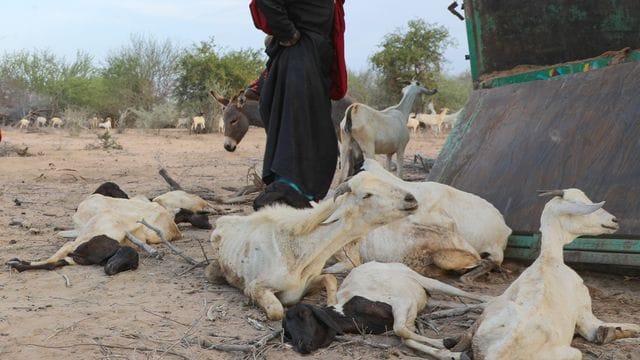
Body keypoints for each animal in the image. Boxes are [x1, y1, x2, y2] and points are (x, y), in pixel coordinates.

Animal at [202, 172, 418, 320]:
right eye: (367, 195)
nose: (411, 198)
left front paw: (331, 304)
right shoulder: (256, 287)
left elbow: (330, 279)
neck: (302, 250)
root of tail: (221, 222)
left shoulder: (309, 283)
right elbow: (277, 311)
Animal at [282, 260, 490, 358]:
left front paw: (447, 342)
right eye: (287, 331)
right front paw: (450, 351)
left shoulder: (402, 303)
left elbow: (401, 331)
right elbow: (407, 338)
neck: (349, 310)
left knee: (456, 290)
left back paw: (488, 299)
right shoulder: (408, 316)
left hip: (423, 280)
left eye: (304, 314)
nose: (301, 345)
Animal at [450, 190, 640, 358]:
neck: (549, 258)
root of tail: (498, 352)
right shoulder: (586, 314)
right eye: (583, 203)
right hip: (573, 353)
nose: (614, 220)